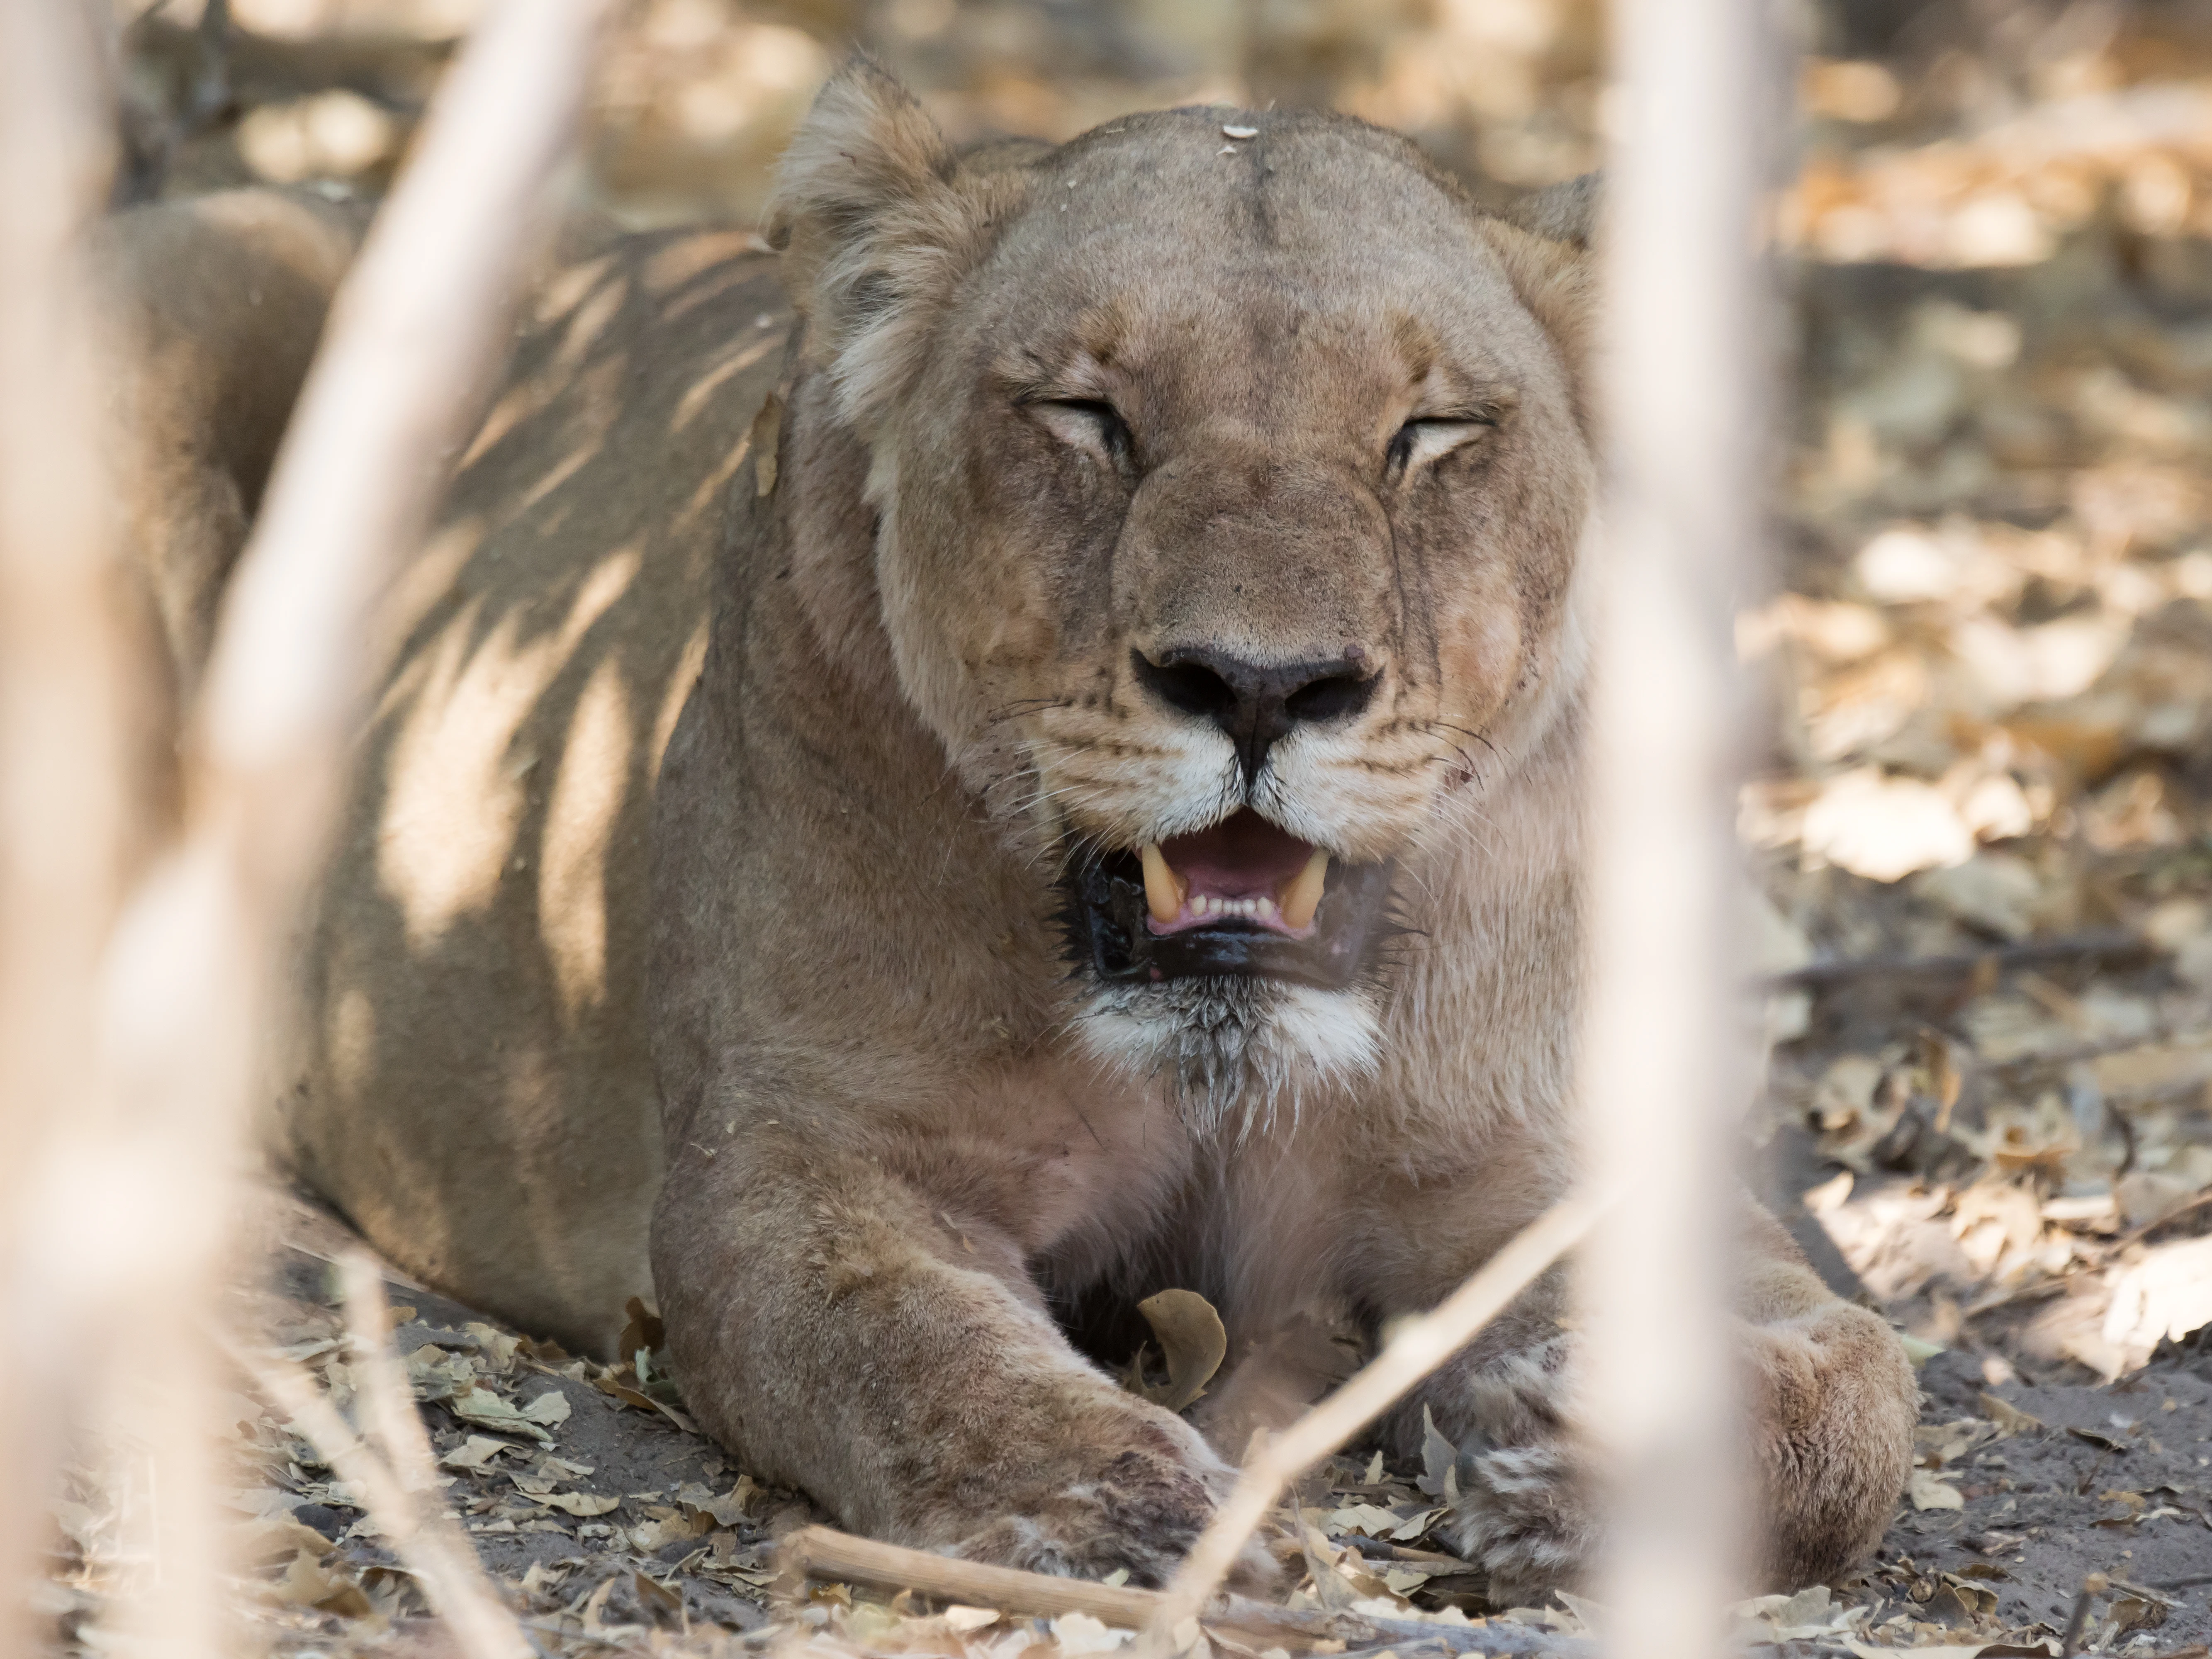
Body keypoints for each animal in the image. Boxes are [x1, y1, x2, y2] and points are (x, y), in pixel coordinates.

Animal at [282, 58, 1916, 1599]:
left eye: (1427, 432)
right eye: (1089, 415)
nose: (1259, 685)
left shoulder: (1530, 1159)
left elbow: (1868, 1384)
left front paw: (1596, 1455)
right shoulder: (793, 1156)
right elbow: (905, 1345)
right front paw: (1124, 1513)